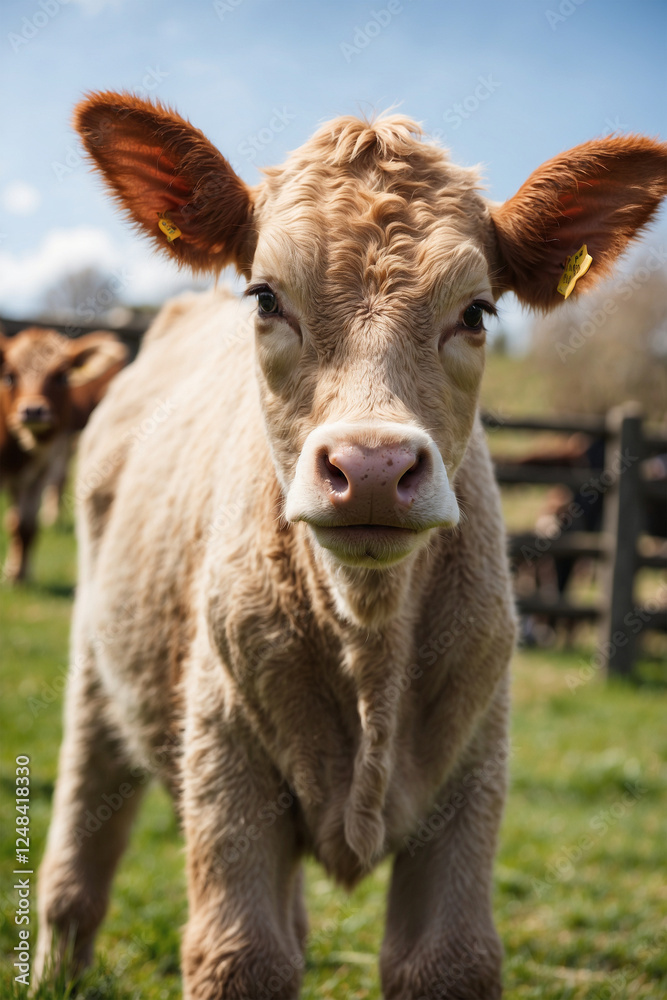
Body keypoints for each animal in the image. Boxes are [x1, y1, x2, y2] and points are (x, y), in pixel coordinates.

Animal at [0, 326, 127, 582]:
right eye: (9, 376)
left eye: (62, 377)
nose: (33, 411)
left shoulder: (40, 469)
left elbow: (24, 524)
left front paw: (19, 575)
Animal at [34, 91, 667, 999]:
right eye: (266, 297)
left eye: (476, 312)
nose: (371, 466)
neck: (369, 640)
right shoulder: (223, 749)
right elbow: (242, 957)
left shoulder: (476, 764)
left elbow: (445, 960)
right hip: (95, 667)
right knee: (79, 856)